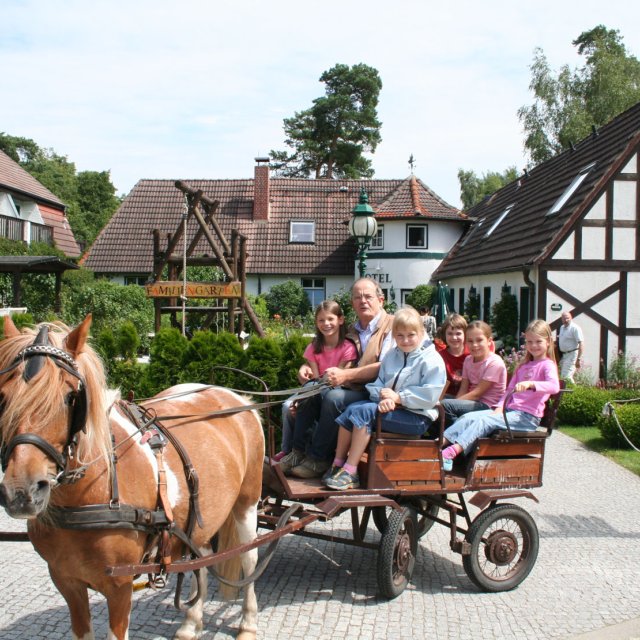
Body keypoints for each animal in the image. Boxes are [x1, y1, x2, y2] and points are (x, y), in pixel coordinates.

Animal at [0, 316, 264, 640]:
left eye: (71, 397)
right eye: (3, 397)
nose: (21, 492)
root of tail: (235, 395)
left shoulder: (119, 587)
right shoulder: (66, 581)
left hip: (246, 504)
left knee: (248, 557)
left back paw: (248, 622)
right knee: (201, 558)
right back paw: (191, 621)